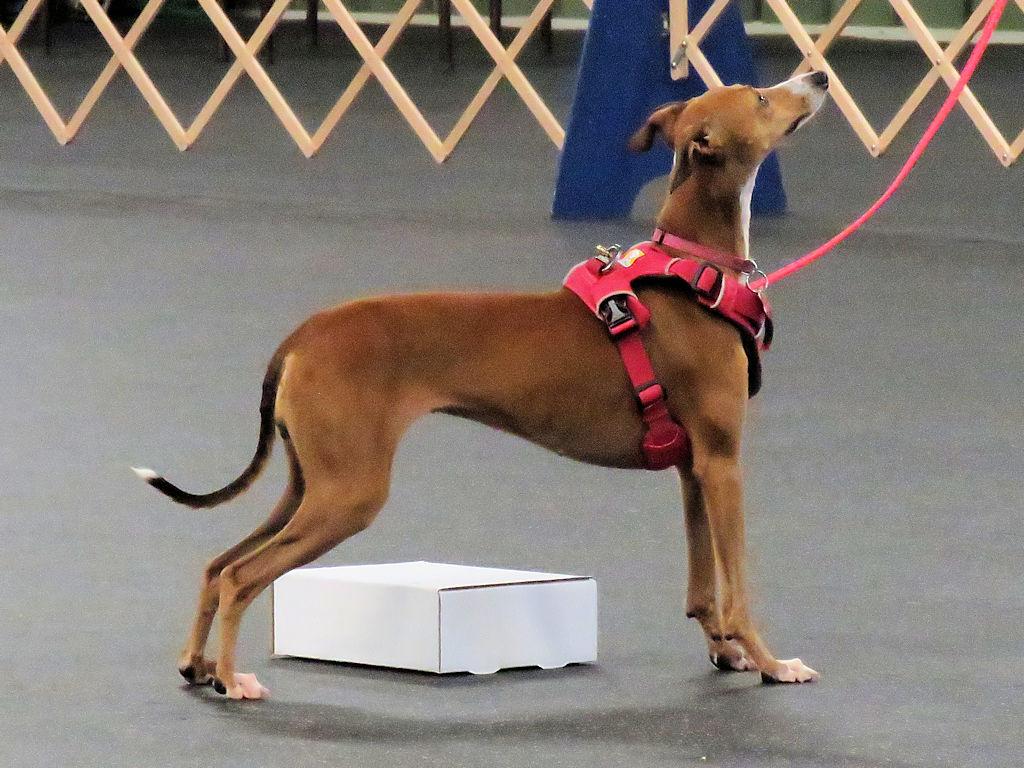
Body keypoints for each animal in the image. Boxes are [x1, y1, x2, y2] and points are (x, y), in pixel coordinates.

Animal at [134, 71, 830, 699]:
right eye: (761, 97)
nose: (819, 77)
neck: (692, 271)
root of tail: (305, 333)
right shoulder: (722, 462)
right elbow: (739, 591)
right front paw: (772, 664)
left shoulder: (692, 469)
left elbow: (703, 586)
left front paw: (726, 653)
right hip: (348, 494)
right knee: (243, 575)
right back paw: (231, 678)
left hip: (310, 484)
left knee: (218, 564)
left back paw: (197, 666)